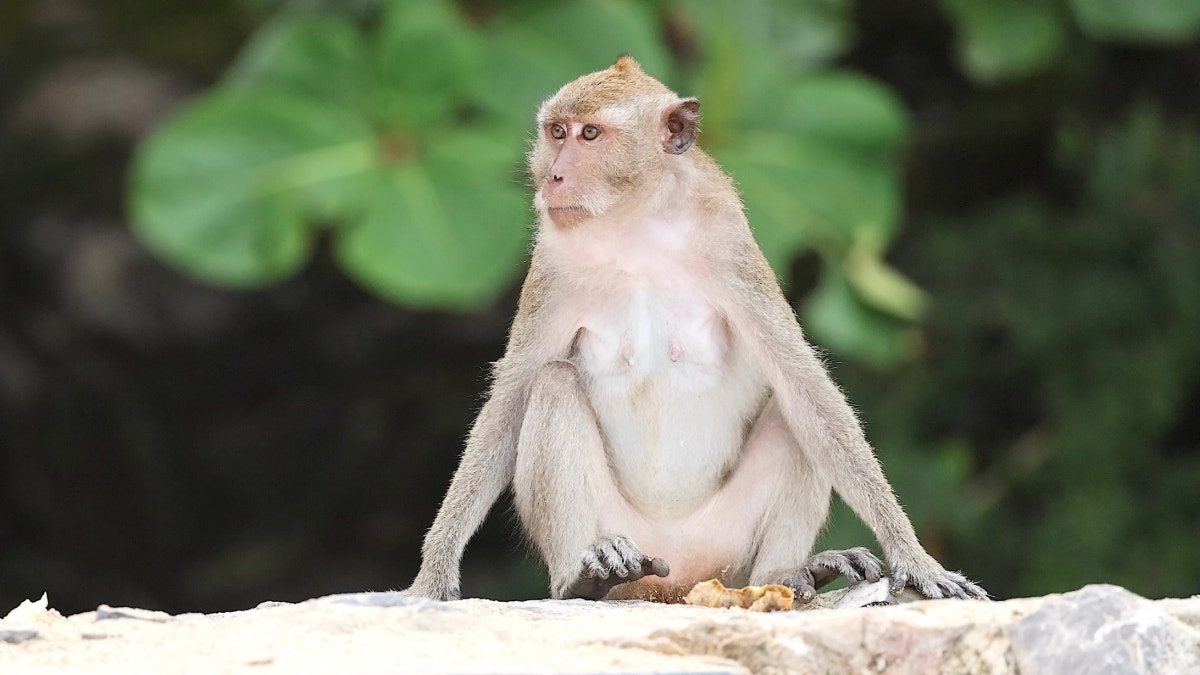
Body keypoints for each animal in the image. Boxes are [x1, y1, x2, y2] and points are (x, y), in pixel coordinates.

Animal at [405, 56, 987, 604]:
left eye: (589, 134)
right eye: (556, 132)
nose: (553, 177)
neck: (635, 225)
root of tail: (677, 582)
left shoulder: (730, 245)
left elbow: (804, 387)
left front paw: (914, 558)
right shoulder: (551, 265)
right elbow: (509, 403)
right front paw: (433, 574)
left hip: (726, 550)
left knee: (791, 412)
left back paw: (788, 575)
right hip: (627, 534)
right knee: (552, 384)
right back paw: (583, 578)